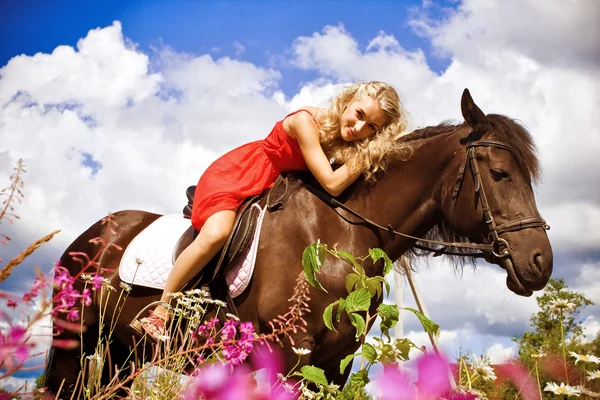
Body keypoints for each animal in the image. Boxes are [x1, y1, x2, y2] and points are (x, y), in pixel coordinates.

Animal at [45, 90, 552, 396]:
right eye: (500, 174)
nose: (540, 263)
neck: (341, 233)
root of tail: (94, 233)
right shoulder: (289, 356)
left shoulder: (333, 364)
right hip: (76, 344)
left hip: (122, 356)